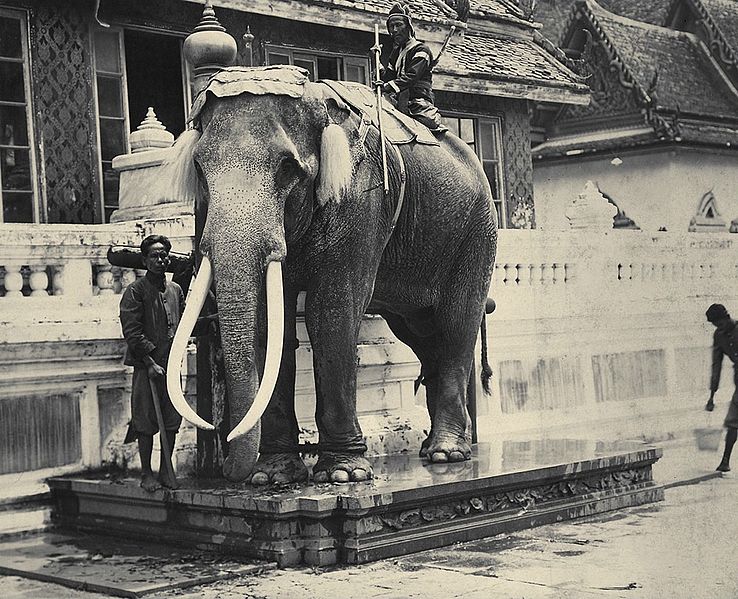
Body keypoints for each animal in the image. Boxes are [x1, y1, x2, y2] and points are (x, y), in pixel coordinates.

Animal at [161, 65, 494, 488]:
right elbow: (271, 323)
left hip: (477, 232)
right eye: (200, 170)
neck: (319, 102)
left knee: (455, 325)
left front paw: (343, 475)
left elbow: (330, 313)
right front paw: (271, 477)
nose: (228, 470)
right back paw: (436, 447)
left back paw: (445, 454)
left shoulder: (360, 201)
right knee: (420, 332)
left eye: (287, 167)